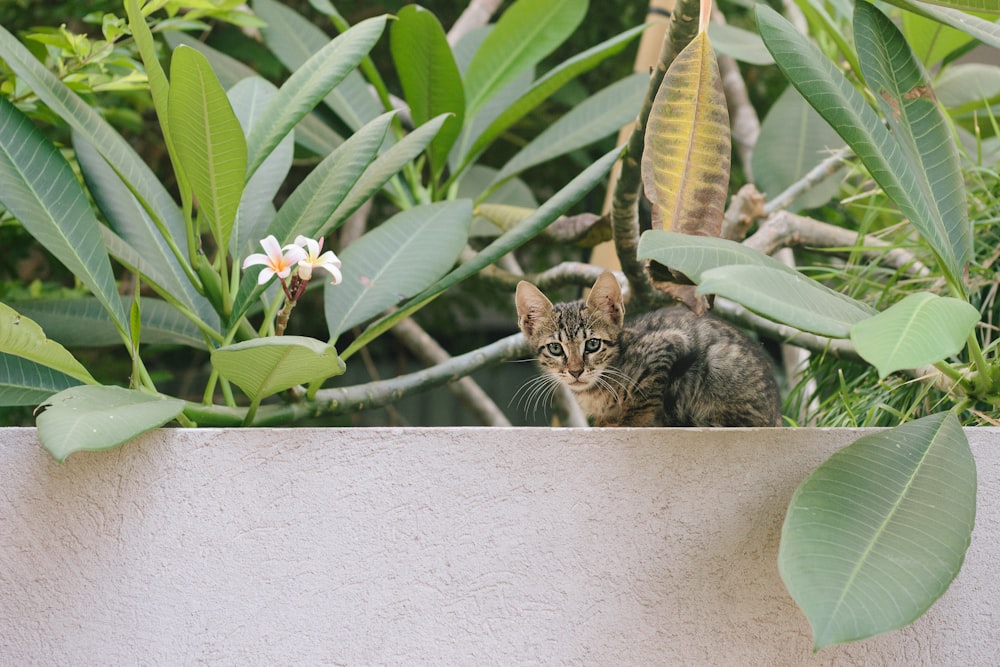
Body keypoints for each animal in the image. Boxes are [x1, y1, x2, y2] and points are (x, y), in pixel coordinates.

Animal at [516, 272, 780, 428]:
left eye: (592, 344)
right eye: (555, 348)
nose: (575, 371)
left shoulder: (669, 343)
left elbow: (643, 399)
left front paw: (623, 421)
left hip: (718, 367)